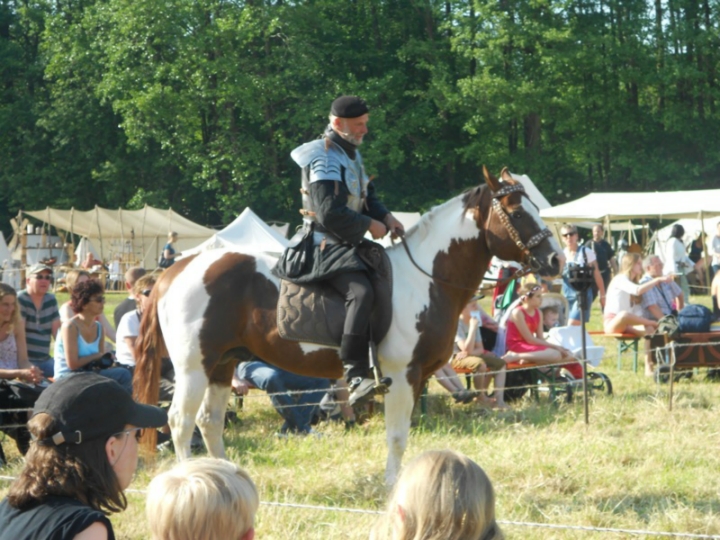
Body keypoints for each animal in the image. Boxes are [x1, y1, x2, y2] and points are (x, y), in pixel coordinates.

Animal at [135, 167, 564, 484]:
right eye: (518, 212)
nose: (557, 261)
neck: (424, 278)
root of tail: (175, 270)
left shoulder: (416, 378)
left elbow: (403, 433)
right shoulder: (399, 375)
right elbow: (396, 436)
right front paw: (392, 488)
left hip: (222, 365)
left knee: (209, 422)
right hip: (194, 367)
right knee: (180, 422)